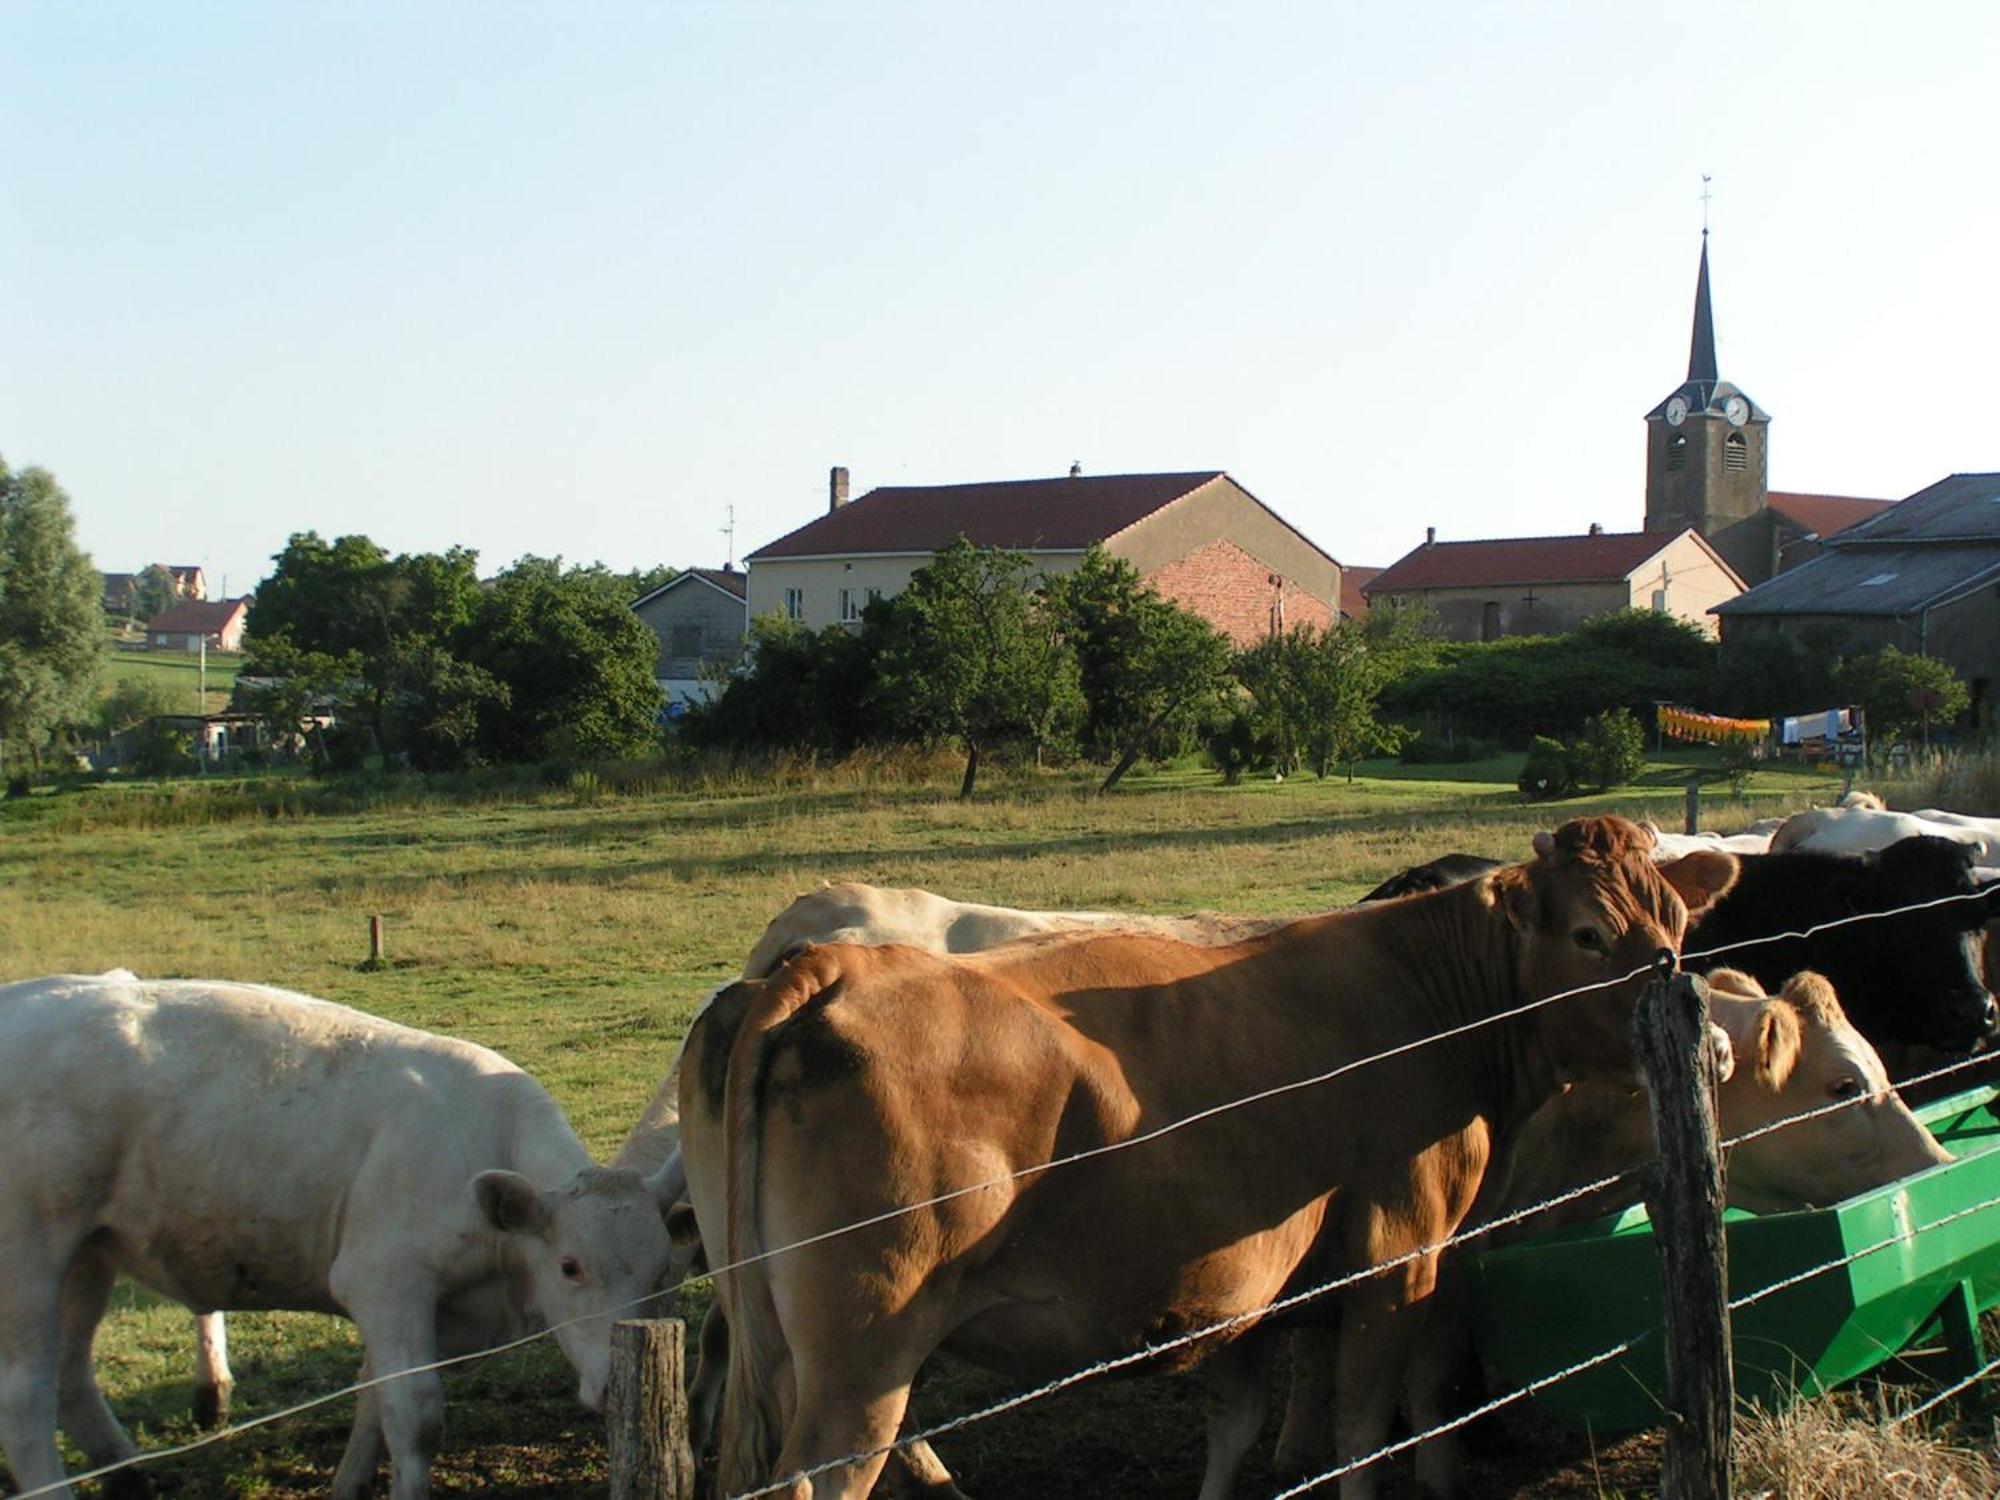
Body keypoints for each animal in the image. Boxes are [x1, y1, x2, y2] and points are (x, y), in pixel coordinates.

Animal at [0, 976, 680, 1500]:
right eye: (569, 1266)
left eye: (662, 1272)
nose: (616, 1388)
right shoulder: (385, 1281)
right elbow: (414, 1418)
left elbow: (371, 1402)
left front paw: (349, 1483)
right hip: (28, 1258)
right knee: (26, 1400)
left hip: (88, 1253)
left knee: (70, 1371)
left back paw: (128, 1476)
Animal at [676, 824, 1736, 1500]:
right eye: (1588, 933)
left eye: (1680, 926)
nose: (1715, 1047)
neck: (1428, 996)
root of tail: (827, 967)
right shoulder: (1402, 1249)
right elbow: (1369, 1424)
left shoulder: (1251, 1281)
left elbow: (1246, 1422)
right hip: (861, 1365)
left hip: (776, 1335)